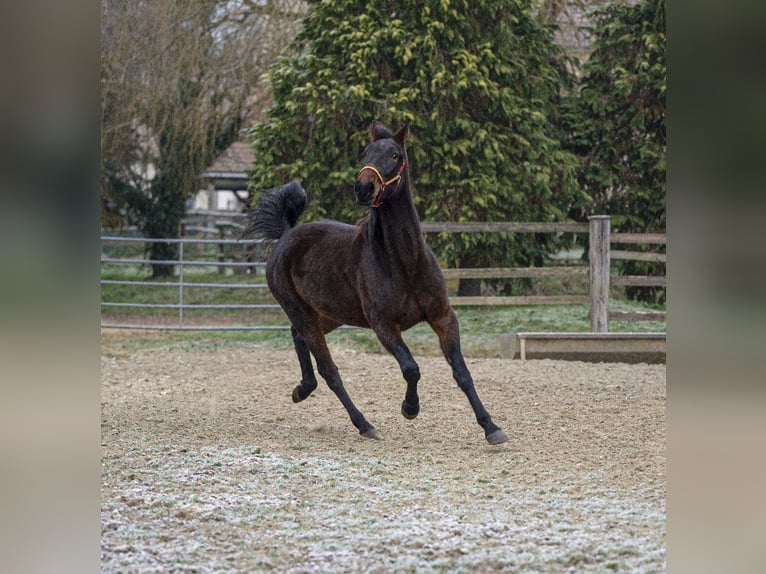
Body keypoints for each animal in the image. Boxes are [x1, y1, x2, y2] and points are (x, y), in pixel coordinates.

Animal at [248, 120, 510, 446]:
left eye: (395, 155)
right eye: (366, 153)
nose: (363, 187)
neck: (405, 261)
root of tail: (286, 236)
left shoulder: (443, 318)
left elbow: (462, 373)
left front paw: (491, 427)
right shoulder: (384, 326)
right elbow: (411, 368)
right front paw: (410, 408)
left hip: (328, 314)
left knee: (299, 337)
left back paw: (302, 390)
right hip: (302, 311)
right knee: (329, 370)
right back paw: (364, 424)